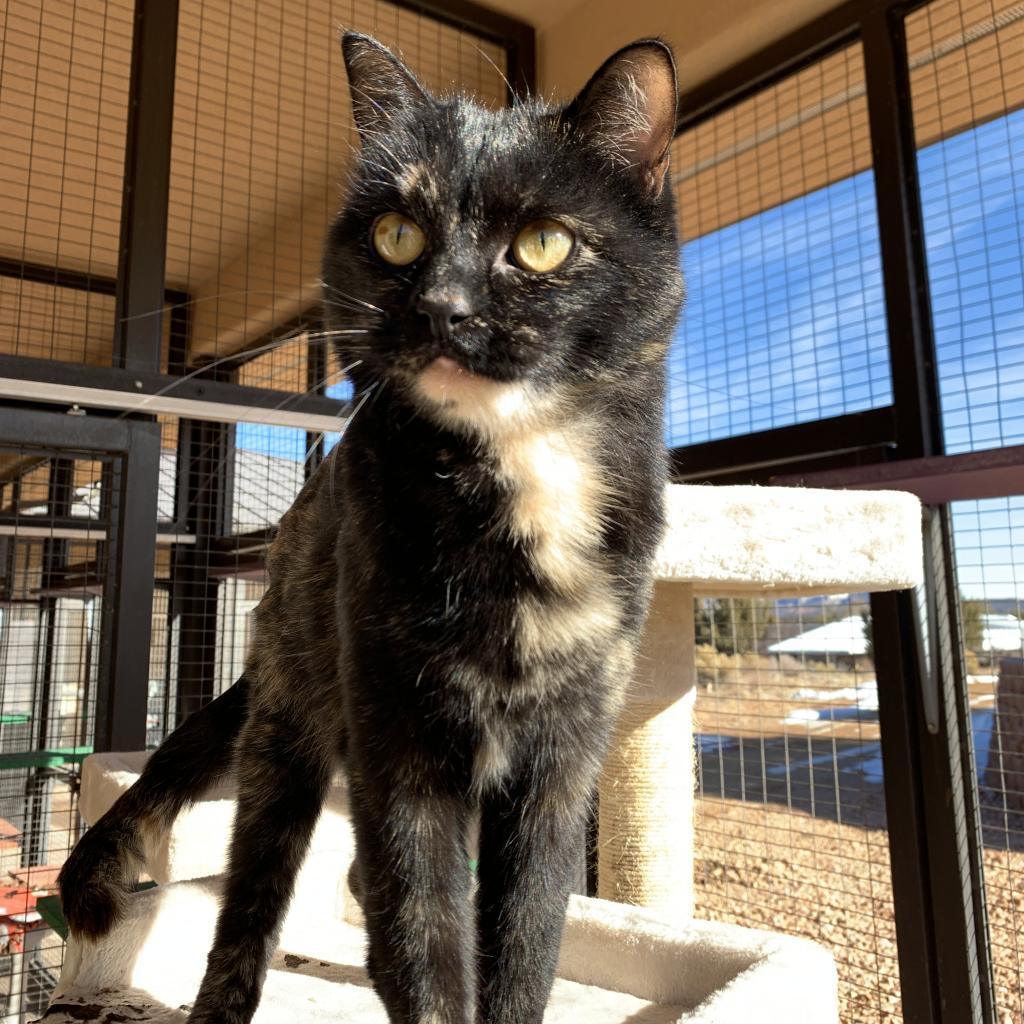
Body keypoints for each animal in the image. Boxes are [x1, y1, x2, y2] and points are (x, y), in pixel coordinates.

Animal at [54, 29, 679, 1024]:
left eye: (543, 243)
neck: (521, 487)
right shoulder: (399, 737)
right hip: (290, 719)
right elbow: (422, 941)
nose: (442, 307)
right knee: (255, 902)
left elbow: (528, 937)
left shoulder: (563, 756)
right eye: (397, 235)